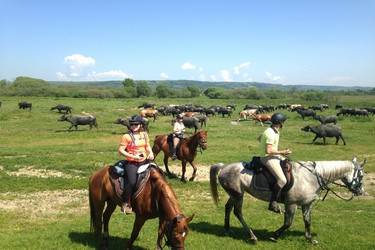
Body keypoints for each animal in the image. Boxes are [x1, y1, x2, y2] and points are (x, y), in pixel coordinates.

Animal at [212, 157, 368, 245]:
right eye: (360, 175)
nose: (361, 192)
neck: (311, 177)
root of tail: (224, 166)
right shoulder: (291, 204)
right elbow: (288, 223)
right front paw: (274, 236)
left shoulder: (307, 204)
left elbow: (307, 222)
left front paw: (310, 239)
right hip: (238, 195)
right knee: (238, 212)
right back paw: (252, 236)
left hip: (234, 194)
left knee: (228, 208)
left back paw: (228, 229)